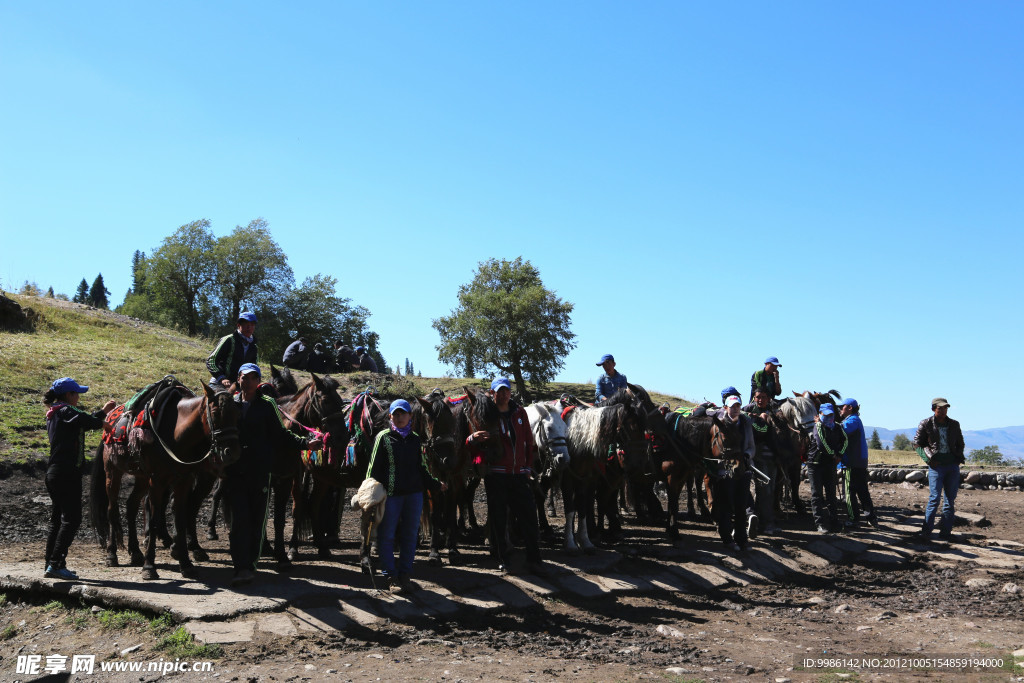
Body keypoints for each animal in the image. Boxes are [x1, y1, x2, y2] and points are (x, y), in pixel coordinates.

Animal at [88, 382, 239, 581]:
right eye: (215, 412)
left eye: (236, 412)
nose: (231, 452)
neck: (176, 434)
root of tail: (110, 421)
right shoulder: (158, 481)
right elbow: (153, 518)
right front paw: (150, 566)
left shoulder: (183, 481)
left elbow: (181, 517)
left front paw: (186, 563)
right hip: (113, 473)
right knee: (112, 510)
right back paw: (112, 555)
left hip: (142, 478)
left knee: (131, 505)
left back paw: (135, 552)